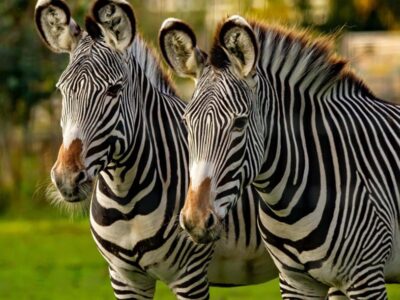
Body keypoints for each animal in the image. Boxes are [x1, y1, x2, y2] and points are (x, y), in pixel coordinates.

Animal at [34, 1, 278, 298]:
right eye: (62, 90)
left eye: (114, 90)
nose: (66, 179)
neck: (124, 199)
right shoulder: (123, 277)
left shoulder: (190, 276)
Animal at [159, 15, 400, 300]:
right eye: (186, 123)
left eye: (239, 124)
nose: (194, 221)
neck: (288, 208)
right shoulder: (296, 282)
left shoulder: (366, 279)